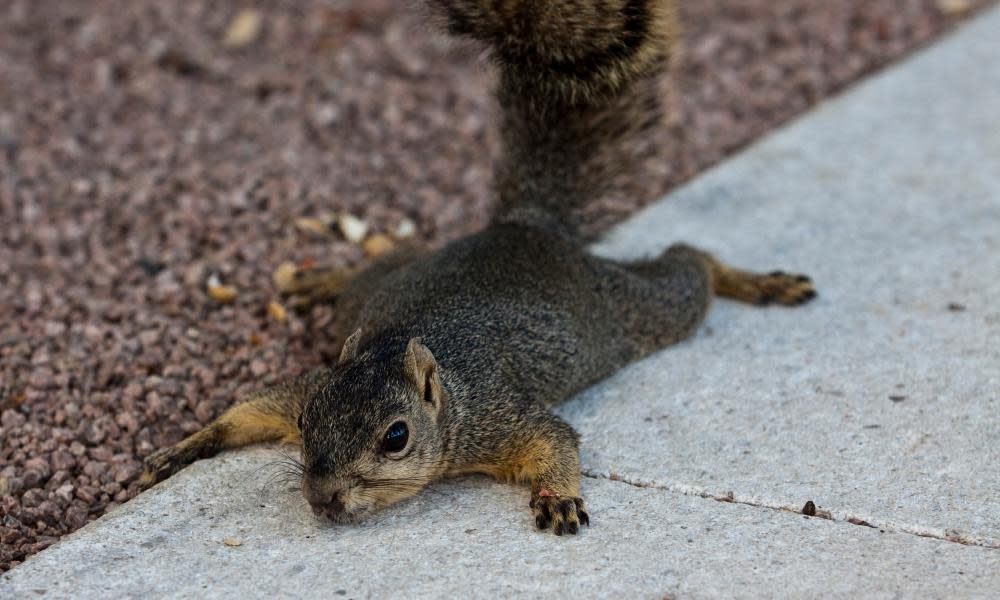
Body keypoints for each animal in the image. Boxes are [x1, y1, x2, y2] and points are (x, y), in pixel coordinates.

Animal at [139, 0, 812, 536]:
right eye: (307, 421)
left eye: (396, 437)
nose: (322, 500)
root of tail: (523, 228)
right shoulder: (309, 383)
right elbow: (250, 409)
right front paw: (183, 447)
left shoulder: (499, 417)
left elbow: (555, 439)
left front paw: (559, 496)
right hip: (378, 288)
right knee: (391, 259)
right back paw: (320, 278)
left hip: (637, 311)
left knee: (689, 266)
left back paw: (756, 281)